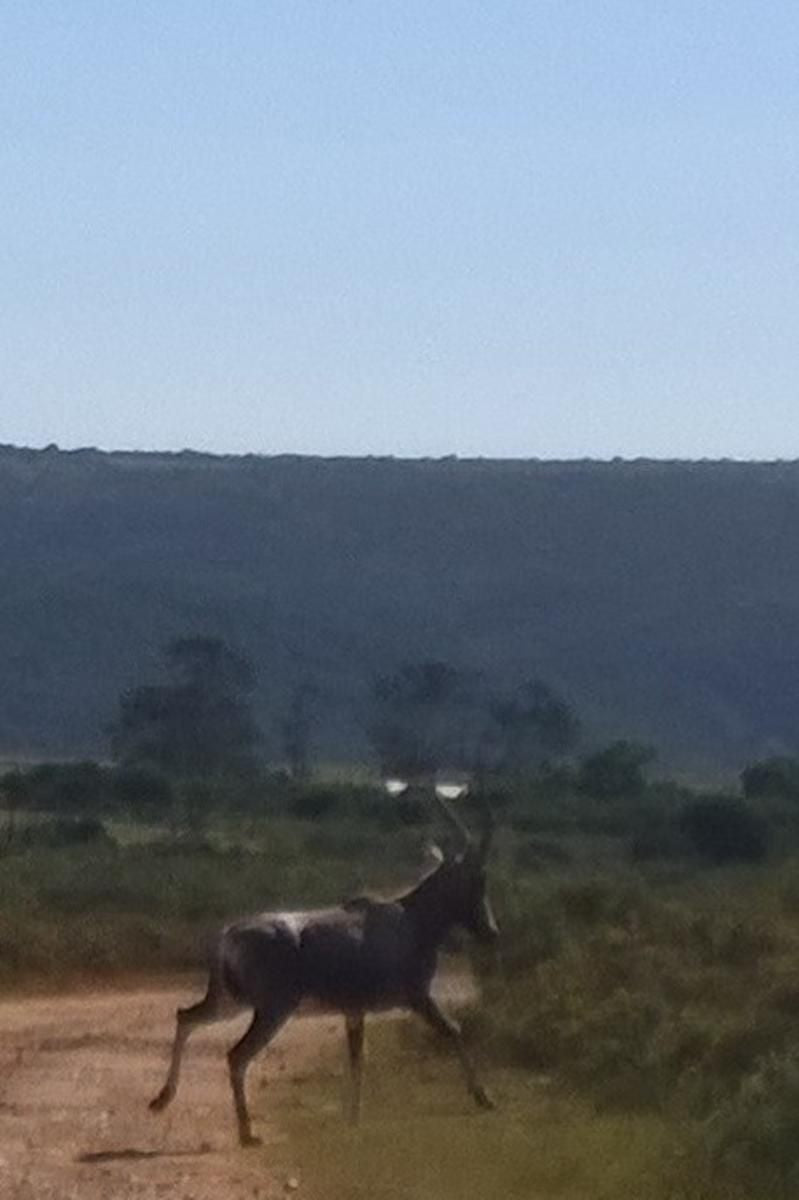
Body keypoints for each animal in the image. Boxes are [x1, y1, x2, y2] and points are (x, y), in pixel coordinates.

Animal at [147, 782, 499, 1147]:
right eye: (477, 879)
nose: (491, 932)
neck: (410, 918)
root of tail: (229, 935)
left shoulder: (354, 1010)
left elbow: (358, 1058)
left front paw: (353, 1119)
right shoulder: (416, 997)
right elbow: (454, 1030)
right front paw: (484, 1097)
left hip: (231, 1002)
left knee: (186, 1017)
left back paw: (161, 1099)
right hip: (273, 1009)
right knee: (236, 1055)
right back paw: (248, 1133)